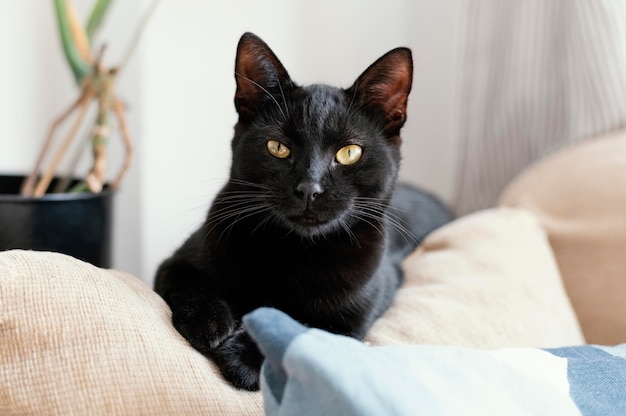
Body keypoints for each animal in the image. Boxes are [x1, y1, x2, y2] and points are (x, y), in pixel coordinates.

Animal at [154, 32, 450, 390]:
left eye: (349, 152)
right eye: (278, 148)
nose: (309, 188)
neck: (292, 249)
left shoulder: (350, 319)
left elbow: (301, 326)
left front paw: (244, 357)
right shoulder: (175, 263)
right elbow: (189, 284)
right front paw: (208, 322)